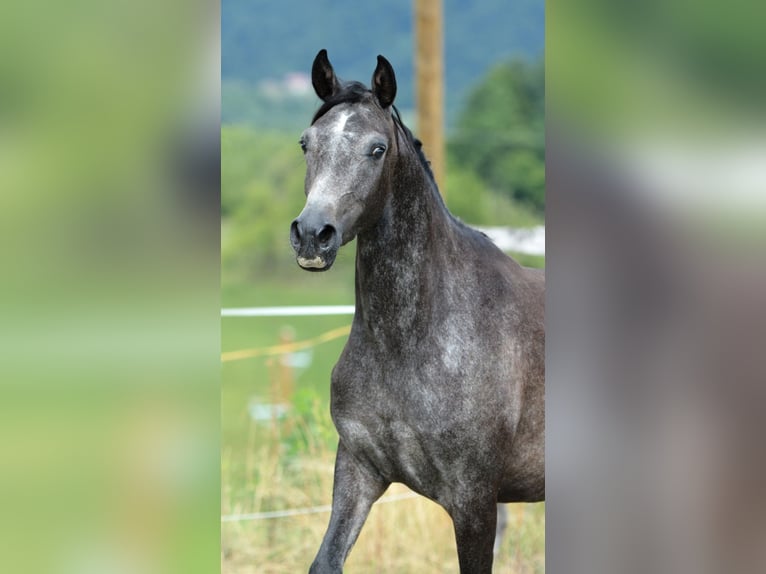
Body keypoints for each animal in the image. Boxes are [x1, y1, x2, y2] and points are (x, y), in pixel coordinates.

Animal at [289, 49, 545, 573]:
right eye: (307, 143)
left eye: (377, 149)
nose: (311, 235)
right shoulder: (358, 470)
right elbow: (325, 561)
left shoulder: (475, 502)